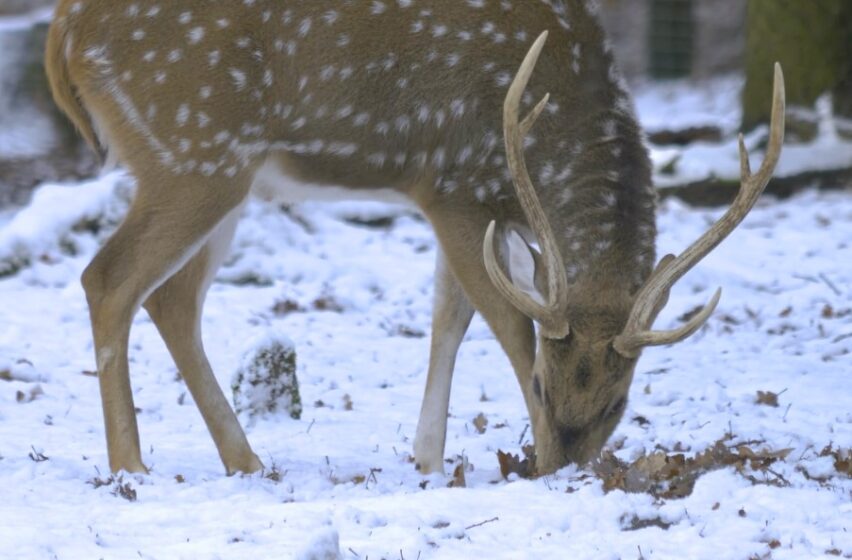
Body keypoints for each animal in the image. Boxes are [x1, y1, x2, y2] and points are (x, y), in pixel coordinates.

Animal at [43, 0, 784, 476]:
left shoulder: (477, 207)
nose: (561, 472)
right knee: (108, 278)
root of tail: (64, 30)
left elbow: (449, 318)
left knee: (170, 300)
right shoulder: (449, 186)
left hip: (220, 174)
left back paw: (245, 459)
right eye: (543, 390)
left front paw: (425, 458)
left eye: (618, 403)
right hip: (193, 151)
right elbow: (507, 325)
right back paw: (131, 465)